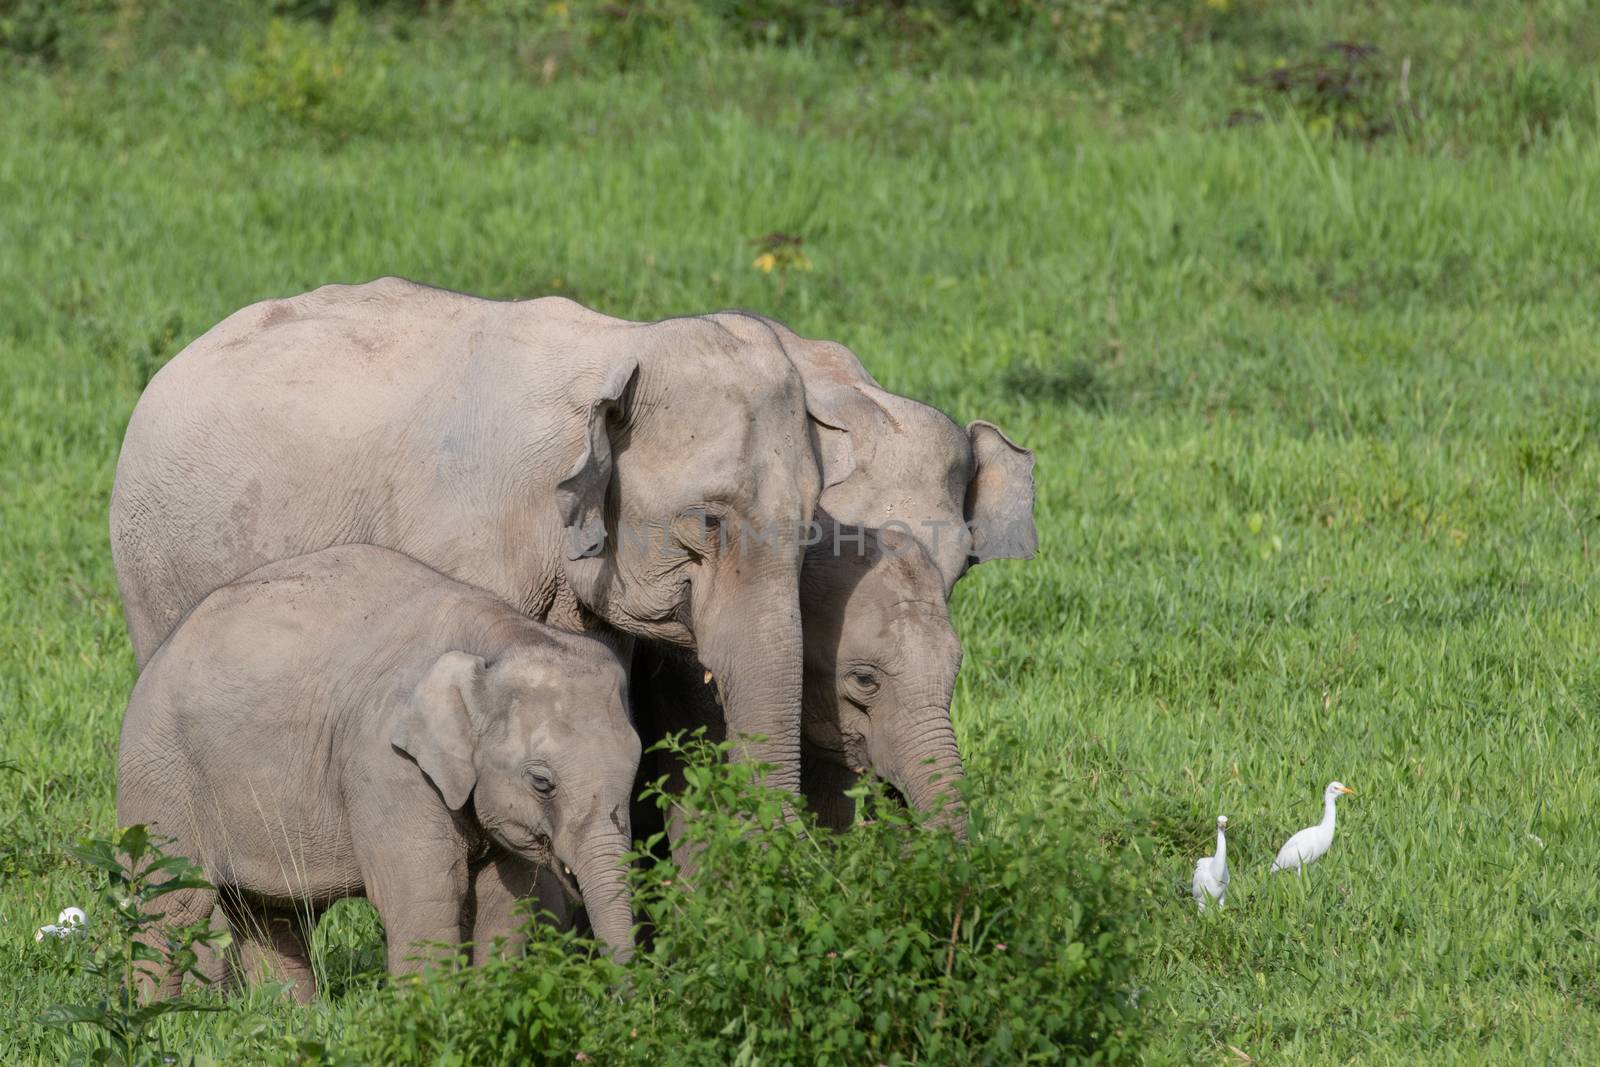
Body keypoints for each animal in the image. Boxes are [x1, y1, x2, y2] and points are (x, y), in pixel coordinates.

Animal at [116, 547, 640, 1004]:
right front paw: (430, 1014)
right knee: (172, 905)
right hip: (161, 774)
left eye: (635, 773)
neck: (500, 638)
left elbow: (505, 899)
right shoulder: (386, 762)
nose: (623, 1001)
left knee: (271, 914)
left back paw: (293, 1017)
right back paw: (156, 1019)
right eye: (542, 782)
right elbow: (424, 895)